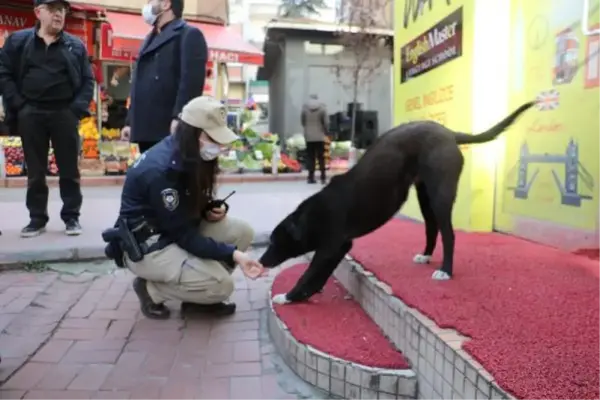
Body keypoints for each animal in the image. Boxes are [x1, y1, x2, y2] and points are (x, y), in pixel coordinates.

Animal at [260, 101, 536, 304]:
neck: (312, 215)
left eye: (274, 241)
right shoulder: (338, 248)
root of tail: (448, 133)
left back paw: (445, 270)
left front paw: (290, 296)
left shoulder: (331, 246)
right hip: (425, 196)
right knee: (432, 227)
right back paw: (426, 256)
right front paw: (302, 296)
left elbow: (309, 273)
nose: (261, 262)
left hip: (441, 194)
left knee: (448, 234)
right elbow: (318, 276)